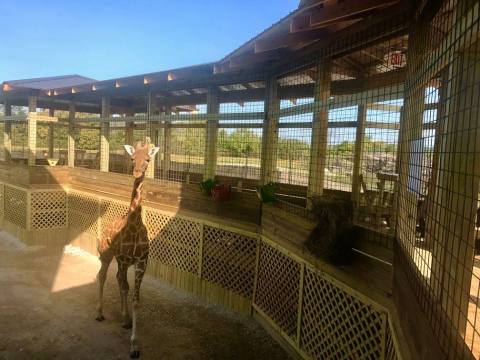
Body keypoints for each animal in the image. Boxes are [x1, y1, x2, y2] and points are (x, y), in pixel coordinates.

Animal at [95, 139, 159, 358]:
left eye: (148, 159)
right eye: (132, 158)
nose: (137, 172)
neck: (135, 226)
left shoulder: (141, 262)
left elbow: (135, 298)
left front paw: (134, 345)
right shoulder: (123, 260)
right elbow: (124, 287)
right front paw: (130, 335)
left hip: (120, 262)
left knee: (117, 279)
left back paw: (124, 317)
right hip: (106, 255)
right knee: (102, 276)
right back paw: (100, 313)